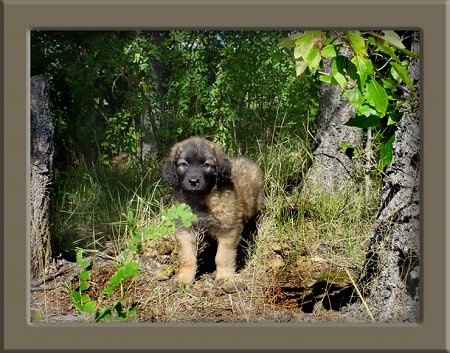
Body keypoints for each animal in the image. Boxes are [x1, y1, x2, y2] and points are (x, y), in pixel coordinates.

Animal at [163, 136, 264, 284]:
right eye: (184, 164)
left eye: (206, 165)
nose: (193, 181)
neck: (199, 199)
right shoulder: (184, 231)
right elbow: (187, 257)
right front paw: (185, 278)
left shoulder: (228, 229)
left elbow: (223, 256)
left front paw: (224, 276)